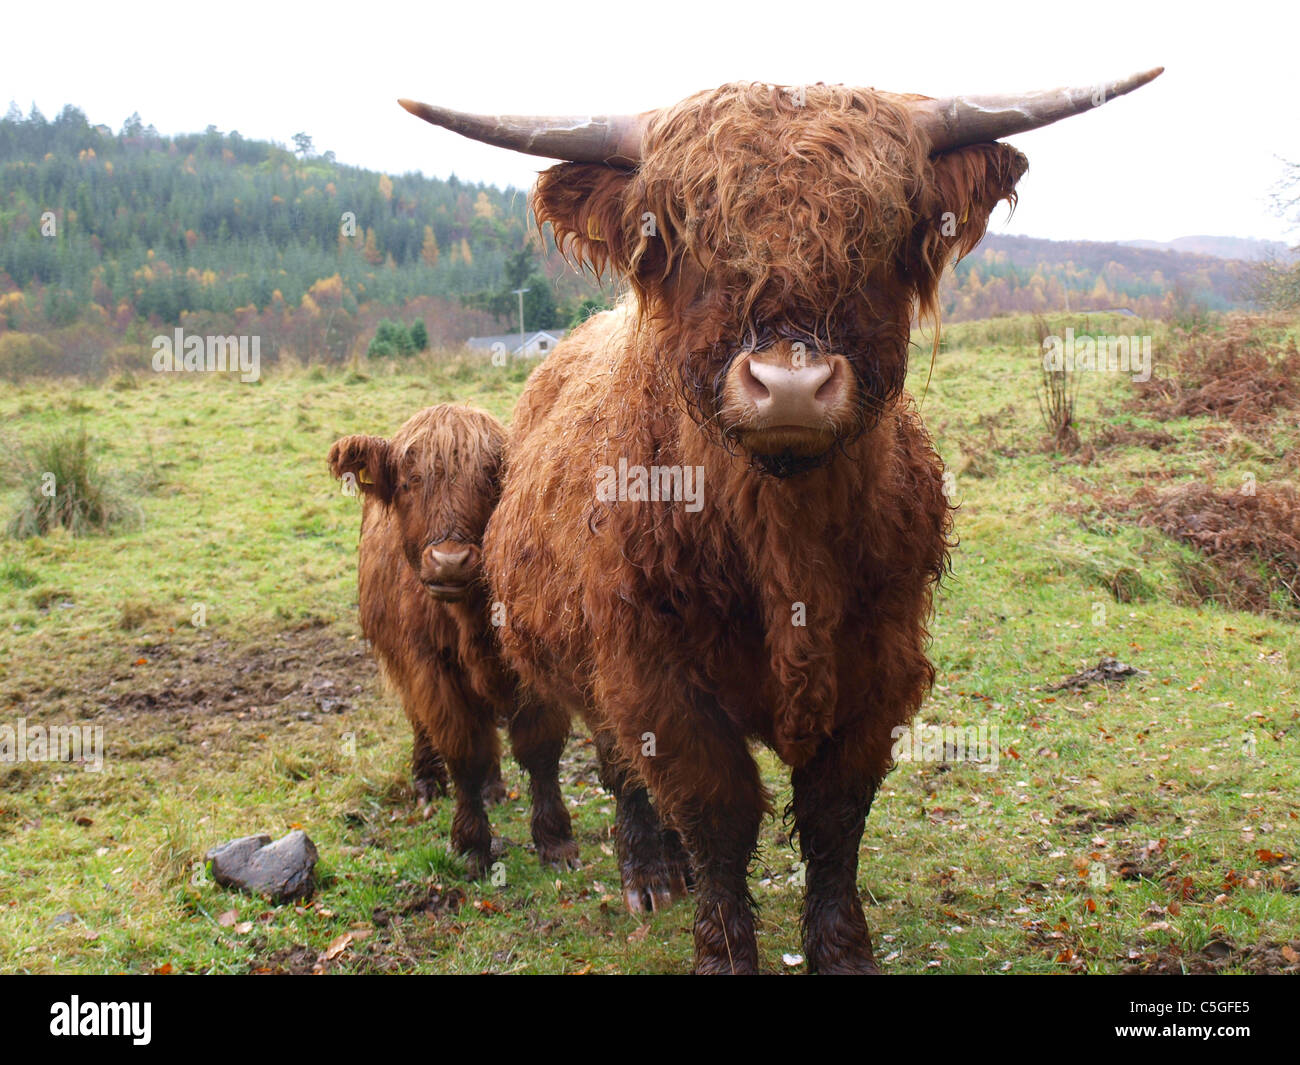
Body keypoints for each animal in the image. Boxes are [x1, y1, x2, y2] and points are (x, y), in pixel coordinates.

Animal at [328, 404, 576, 878]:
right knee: (421, 721)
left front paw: (555, 840)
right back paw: (427, 780)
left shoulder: (532, 664)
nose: (450, 561)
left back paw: (495, 788)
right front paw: (471, 844)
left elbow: (540, 748)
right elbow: (463, 752)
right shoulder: (432, 668)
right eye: (408, 482)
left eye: (491, 478)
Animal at [400, 70, 1162, 972]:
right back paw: (650, 871)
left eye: (883, 228)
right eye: (680, 232)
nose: (790, 385)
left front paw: (842, 948)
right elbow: (716, 807)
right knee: (623, 766)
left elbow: (836, 815)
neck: (782, 536)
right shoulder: (652, 671)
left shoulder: (881, 657)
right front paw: (723, 945)